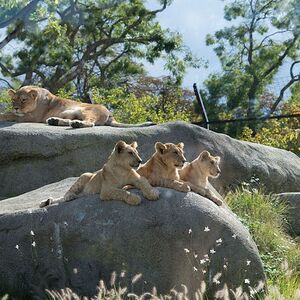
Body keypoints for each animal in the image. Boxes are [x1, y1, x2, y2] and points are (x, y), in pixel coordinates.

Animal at [0, 86, 154, 129]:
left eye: (23, 100)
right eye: (13, 100)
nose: (16, 108)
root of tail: (110, 114)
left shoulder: (32, 116)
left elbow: (9, 114)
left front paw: (4, 114)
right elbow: (9, 113)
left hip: (87, 111)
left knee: (90, 123)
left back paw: (76, 124)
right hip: (70, 113)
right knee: (70, 120)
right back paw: (54, 121)